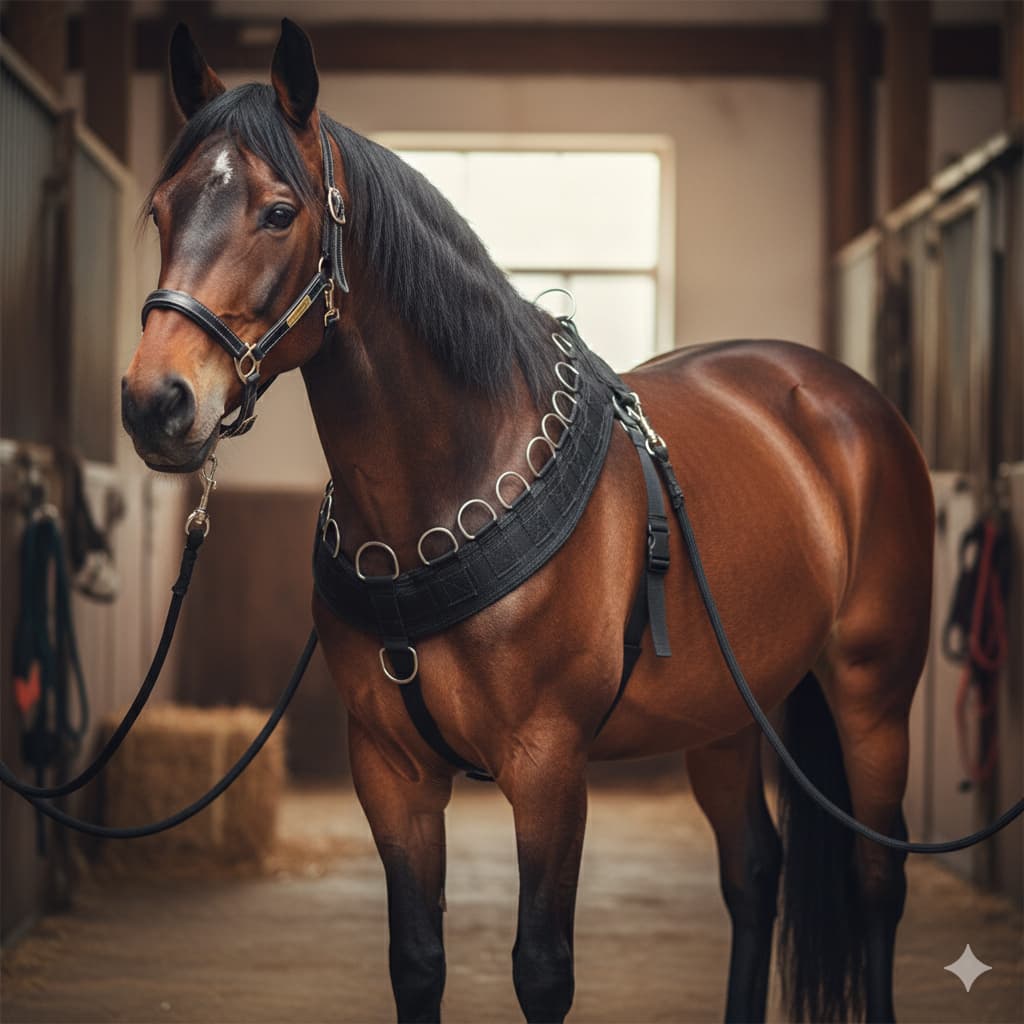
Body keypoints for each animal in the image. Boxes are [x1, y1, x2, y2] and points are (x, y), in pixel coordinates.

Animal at [121, 20, 934, 1024]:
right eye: (162, 209)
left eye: (278, 213)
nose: (157, 402)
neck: (447, 494)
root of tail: (843, 401)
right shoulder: (390, 771)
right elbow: (417, 960)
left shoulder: (548, 766)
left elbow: (542, 968)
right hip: (726, 717)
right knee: (754, 874)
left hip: (873, 695)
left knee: (875, 880)